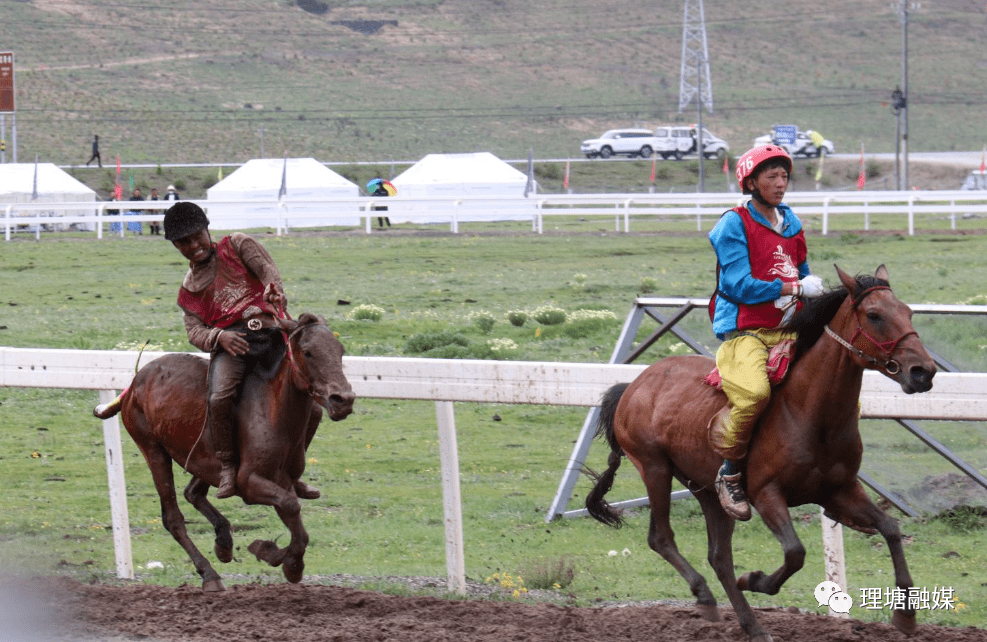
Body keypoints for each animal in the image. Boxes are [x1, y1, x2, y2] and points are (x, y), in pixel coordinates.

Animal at [93, 312, 356, 592]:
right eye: (307, 352)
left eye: (340, 350)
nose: (343, 399)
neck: (273, 412)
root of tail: (133, 383)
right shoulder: (251, 482)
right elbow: (291, 506)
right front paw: (281, 558)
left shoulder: (283, 480)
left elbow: (298, 524)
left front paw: (279, 557)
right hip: (153, 449)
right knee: (173, 518)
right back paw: (209, 574)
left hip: (203, 459)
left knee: (194, 492)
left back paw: (224, 542)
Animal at [588, 264, 932, 640]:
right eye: (874, 315)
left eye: (908, 312)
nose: (923, 371)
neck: (808, 412)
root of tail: (633, 385)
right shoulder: (767, 493)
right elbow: (795, 552)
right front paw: (754, 579)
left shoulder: (839, 490)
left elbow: (891, 528)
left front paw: (906, 615)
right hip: (654, 468)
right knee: (661, 538)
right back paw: (706, 596)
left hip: (706, 490)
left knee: (719, 556)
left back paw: (750, 624)